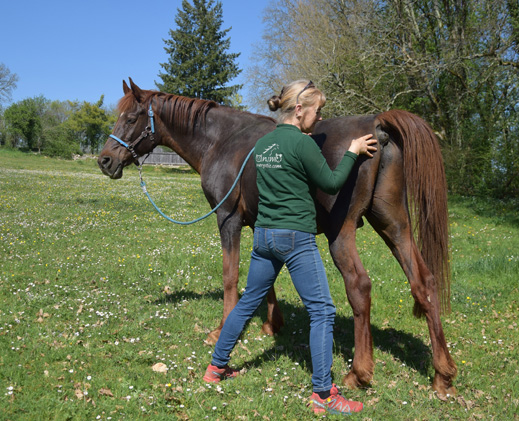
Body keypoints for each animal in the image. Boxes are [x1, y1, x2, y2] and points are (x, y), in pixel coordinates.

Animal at [98, 78, 460, 398]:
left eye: (130, 118)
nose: (105, 160)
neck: (222, 140)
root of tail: (377, 124)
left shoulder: (227, 220)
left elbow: (231, 276)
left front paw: (222, 328)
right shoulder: (262, 222)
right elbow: (265, 277)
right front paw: (272, 323)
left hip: (342, 234)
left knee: (359, 287)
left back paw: (359, 372)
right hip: (394, 226)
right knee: (424, 283)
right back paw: (442, 375)